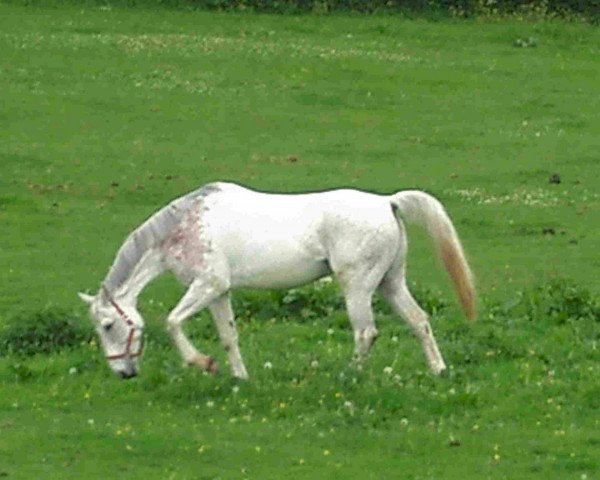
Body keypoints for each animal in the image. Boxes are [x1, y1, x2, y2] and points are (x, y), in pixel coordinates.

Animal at [77, 182, 476, 380]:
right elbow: (229, 336)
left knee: (366, 332)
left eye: (109, 325)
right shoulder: (218, 292)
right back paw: (438, 370)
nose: (124, 373)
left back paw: (350, 376)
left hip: (358, 287)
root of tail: (387, 203)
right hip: (390, 283)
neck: (185, 226)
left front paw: (202, 363)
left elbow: (173, 322)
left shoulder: (207, 285)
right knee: (419, 321)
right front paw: (239, 377)